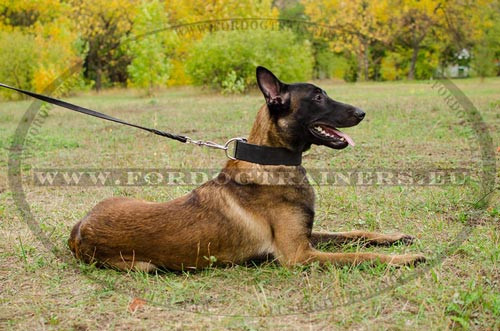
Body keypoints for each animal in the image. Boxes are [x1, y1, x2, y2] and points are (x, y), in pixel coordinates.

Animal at [67, 67, 426, 272]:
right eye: (318, 97)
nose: (362, 112)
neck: (272, 160)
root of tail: (78, 229)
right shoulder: (298, 254)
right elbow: (358, 256)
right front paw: (404, 259)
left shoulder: (306, 238)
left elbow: (354, 234)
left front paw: (394, 237)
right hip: (145, 267)